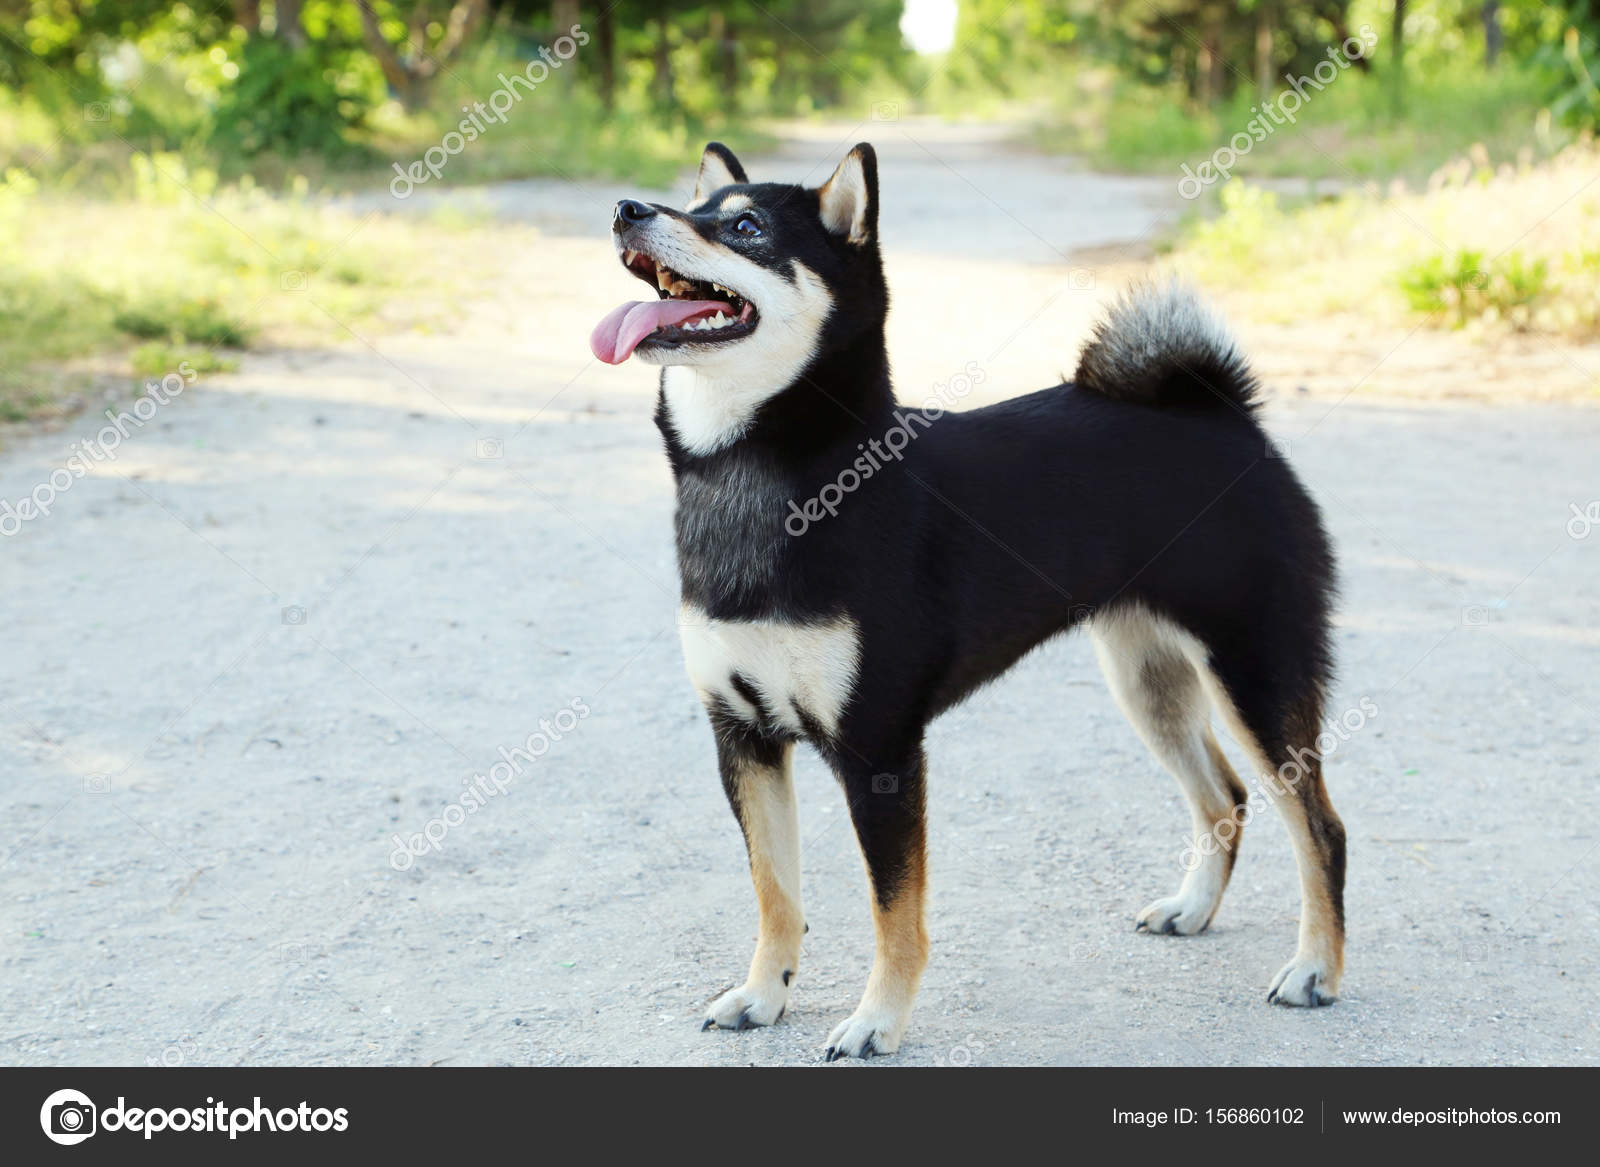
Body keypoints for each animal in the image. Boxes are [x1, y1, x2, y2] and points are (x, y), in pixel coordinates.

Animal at [595, 143, 1344, 1056]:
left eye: (745, 227)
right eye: (697, 205)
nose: (629, 209)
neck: (771, 477)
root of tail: (1219, 412)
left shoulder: (880, 749)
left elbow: (894, 912)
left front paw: (876, 1020)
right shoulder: (743, 737)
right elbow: (776, 893)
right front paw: (763, 993)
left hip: (1255, 677)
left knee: (1320, 829)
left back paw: (1316, 970)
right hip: (1150, 683)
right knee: (1224, 797)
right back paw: (1193, 909)